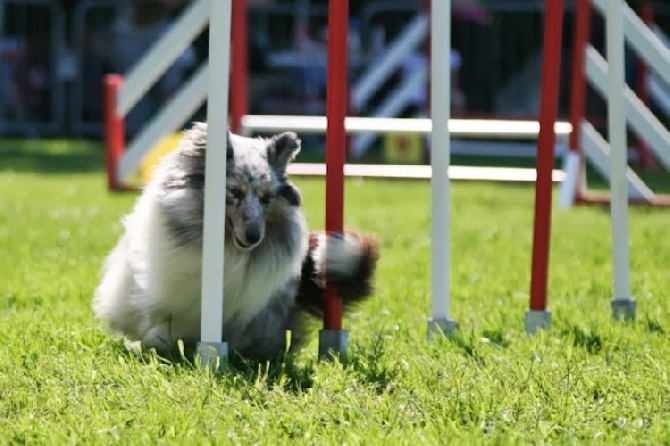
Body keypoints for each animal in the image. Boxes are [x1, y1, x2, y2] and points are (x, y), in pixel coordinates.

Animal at [92, 123, 380, 362]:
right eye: (234, 192)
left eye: (266, 198)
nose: (254, 236)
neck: (225, 247)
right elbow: (142, 320)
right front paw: (138, 340)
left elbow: (161, 334)